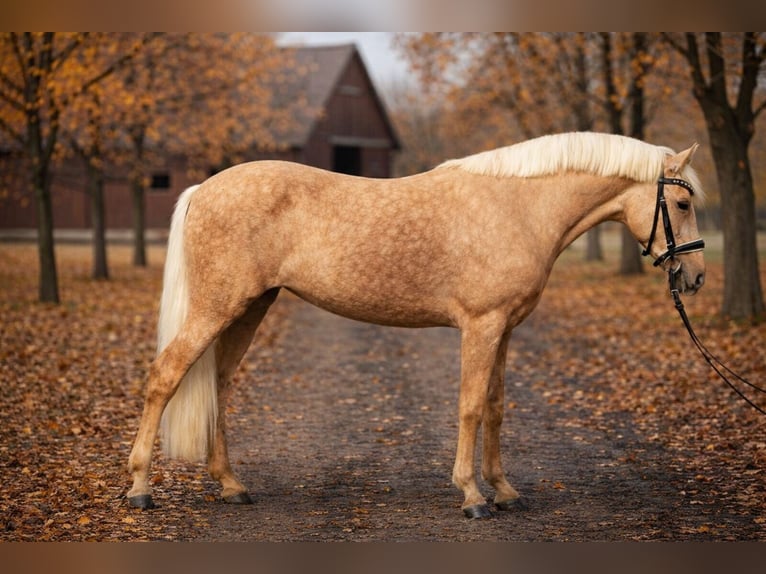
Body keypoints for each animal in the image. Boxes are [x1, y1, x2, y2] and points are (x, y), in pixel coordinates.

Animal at [127, 131, 706, 519]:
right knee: (164, 376)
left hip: (250, 307)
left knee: (220, 385)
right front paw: (472, 496)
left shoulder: (505, 329)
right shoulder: (481, 326)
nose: (696, 275)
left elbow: (496, 407)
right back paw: (139, 488)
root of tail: (202, 189)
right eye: (680, 202)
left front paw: (503, 490)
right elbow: (471, 406)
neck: (517, 207)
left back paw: (231, 485)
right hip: (216, 308)